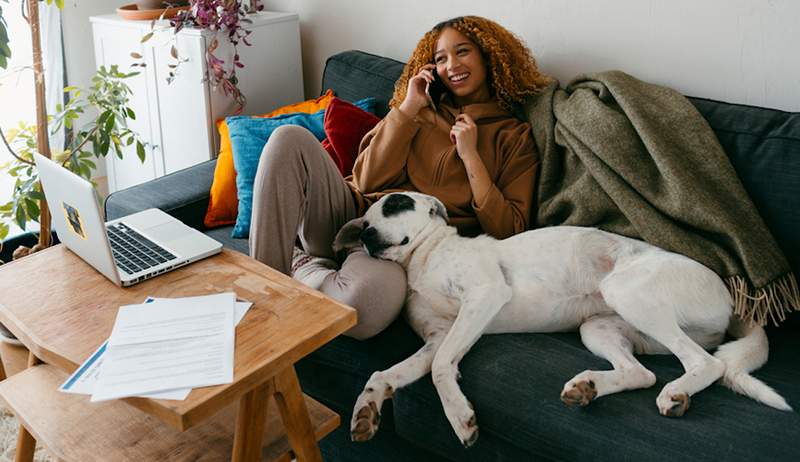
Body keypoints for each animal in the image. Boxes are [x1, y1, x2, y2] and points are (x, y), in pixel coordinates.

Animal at [332, 191, 792, 448]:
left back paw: (676, 392)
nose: (367, 235)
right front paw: (366, 410)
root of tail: (734, 300)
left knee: (706, 362)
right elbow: (386, 373)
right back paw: (589, 387)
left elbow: (443, 367)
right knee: (641, 373)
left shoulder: (483, 296)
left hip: (628, 292)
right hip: (599, 327)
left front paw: (460, 417)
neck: (423, 259)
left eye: (396, 204)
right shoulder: (437, 336)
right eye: (365, 221)